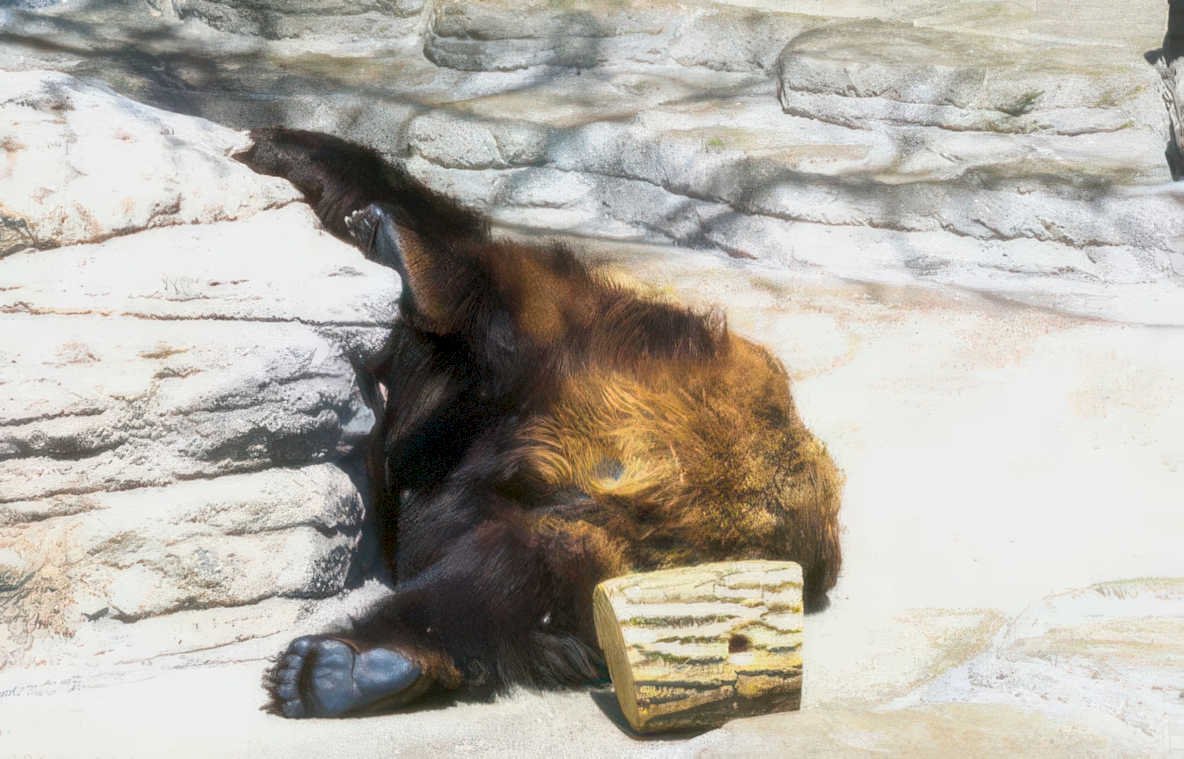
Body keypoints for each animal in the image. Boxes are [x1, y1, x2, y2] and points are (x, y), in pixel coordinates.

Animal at [234, 128, 843, 719]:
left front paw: (274, 148)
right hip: (625, 542)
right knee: (512, 575)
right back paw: (352, 670)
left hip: (619, 352)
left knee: (510, 294)